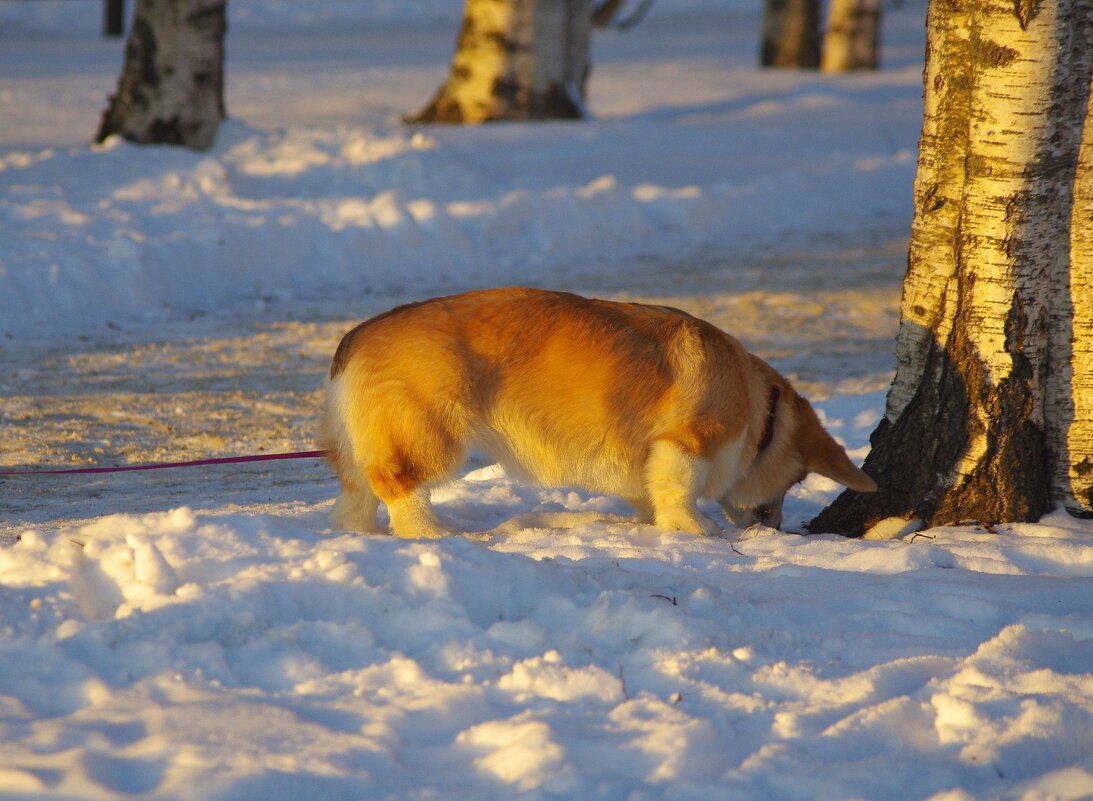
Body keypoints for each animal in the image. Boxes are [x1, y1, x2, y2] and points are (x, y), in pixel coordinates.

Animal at [319, 288, 874, 537]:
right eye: (798, 479)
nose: (773, 529)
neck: (763, 414)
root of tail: (357, 336)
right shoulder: (687, 444)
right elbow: (680, 490)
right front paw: (695, 531)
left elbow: (651, 492)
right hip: (431, 435)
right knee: (399, 486)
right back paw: (434, 535)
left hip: (359, 447)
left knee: (356, 496)